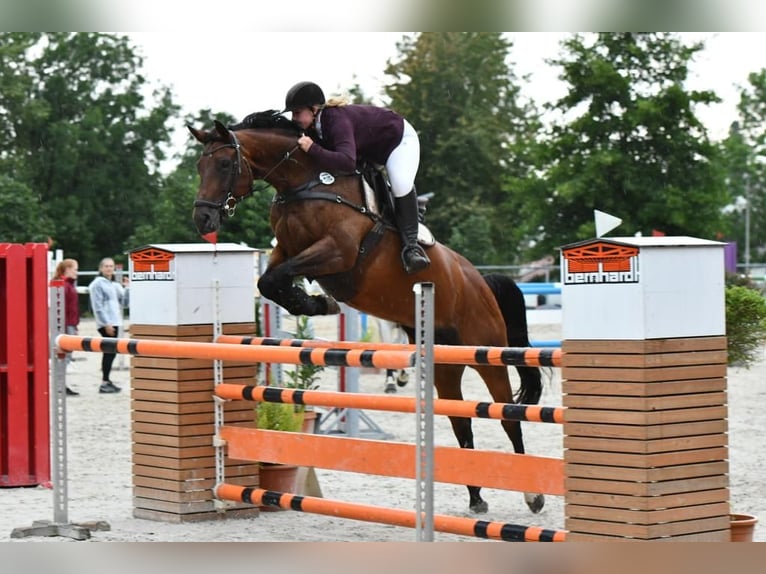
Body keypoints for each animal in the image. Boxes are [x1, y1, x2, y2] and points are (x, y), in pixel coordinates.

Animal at [187, 112, 544, 516]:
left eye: (225, 164)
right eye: (199, 165)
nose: (203, 219)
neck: (305, 182)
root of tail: (479, 280)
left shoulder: (336, 252)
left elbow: (279, 277)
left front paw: (318, 303)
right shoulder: (285, 251)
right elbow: (268, 281)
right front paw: (314, 303)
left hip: (488, 353)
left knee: (507, 417)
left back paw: (533, 496)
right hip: (446, 364)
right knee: (460, 421)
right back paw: (476, 498)